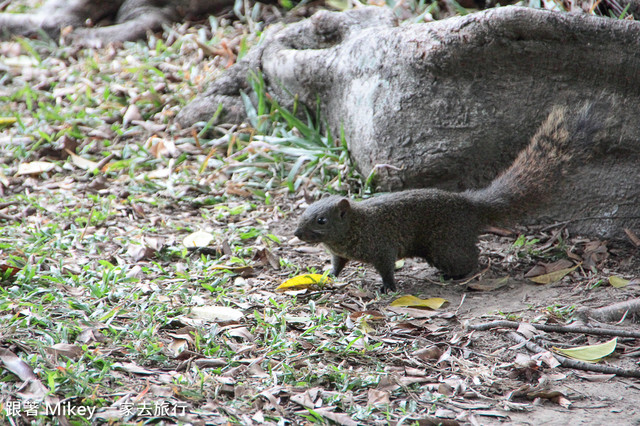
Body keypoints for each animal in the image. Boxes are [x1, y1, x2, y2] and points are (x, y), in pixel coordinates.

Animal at [294, 106, 600, 292]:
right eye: (304, 212)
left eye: (321, 221)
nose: (297, 234)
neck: (354, 227)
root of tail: (471, 205)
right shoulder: (340, 253)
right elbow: (337, 265)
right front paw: (327, 276)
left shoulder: (382, 246)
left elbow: (387, 269)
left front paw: (388, 288)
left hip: (446, 246)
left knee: (471, 258)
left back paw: (457, 275)